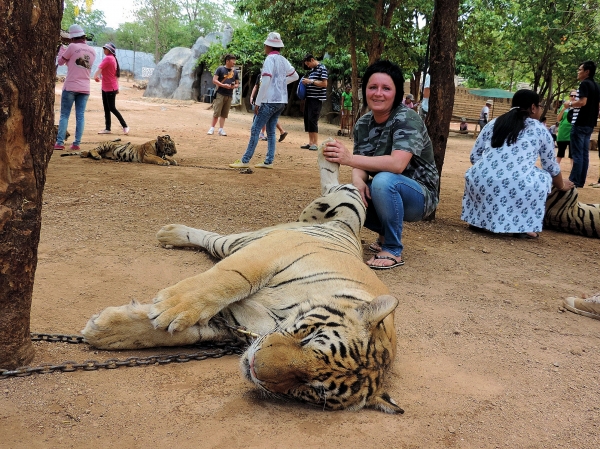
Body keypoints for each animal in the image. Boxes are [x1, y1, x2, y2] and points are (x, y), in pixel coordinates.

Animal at [82, 140, 404, 412]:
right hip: (339, 209)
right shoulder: (270, 251)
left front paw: (105, 331)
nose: (254, 367)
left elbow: (175, 334)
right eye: (310, 338)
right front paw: (170, 307)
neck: (274, 321)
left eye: (310, 387)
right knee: (336, 187)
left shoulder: (230, 324)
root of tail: (342, 229)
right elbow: (227, 279)